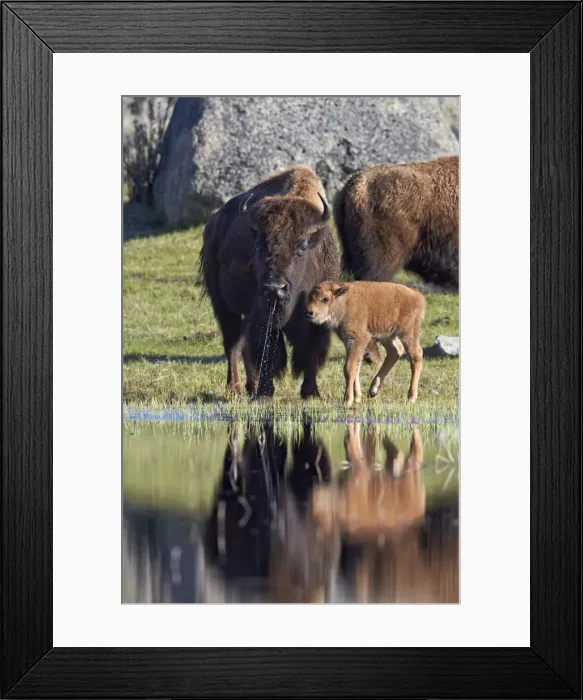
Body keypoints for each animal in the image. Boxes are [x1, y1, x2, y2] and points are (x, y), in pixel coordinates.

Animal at [200, 165, 341, 398]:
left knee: (240, 345)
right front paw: (265, 393)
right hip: (222, 305)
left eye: (302, 247)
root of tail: (213, 224)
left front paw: (311, 392)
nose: (275, 288)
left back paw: (249, 387)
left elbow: (311, 351)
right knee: (232, 344)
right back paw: (236, 387)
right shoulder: (263, 316)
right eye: (258, 245)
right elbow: (268, 353)